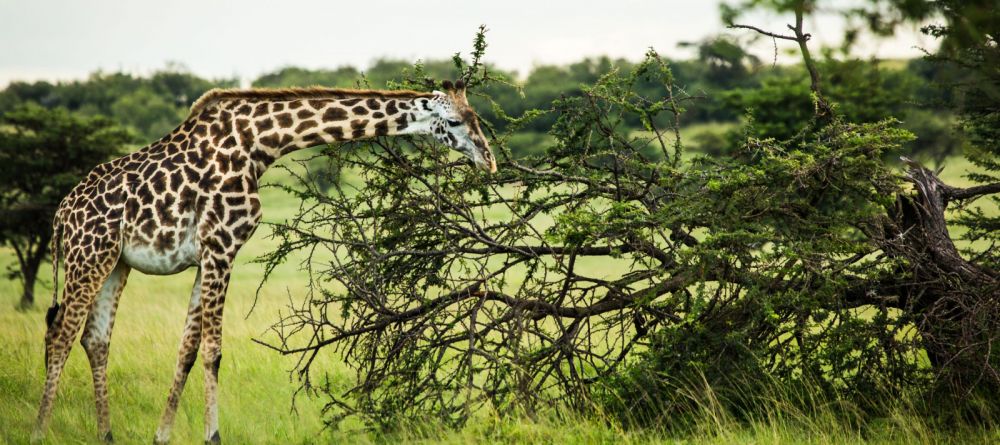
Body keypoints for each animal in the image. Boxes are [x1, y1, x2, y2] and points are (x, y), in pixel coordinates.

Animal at [32, 80, 496, 444]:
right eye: (456, 123)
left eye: (477, 118)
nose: (488, 159)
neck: (260, 143)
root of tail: (59, 218)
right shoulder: (221, 244)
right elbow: (213, 351)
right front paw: (213, 436)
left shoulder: (206, 255)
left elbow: (187, 349)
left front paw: (161, 435)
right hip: (88, 256)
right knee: (60, 334)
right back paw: (39, 431)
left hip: (116, 263)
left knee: (94, 339)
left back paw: (105, 435)